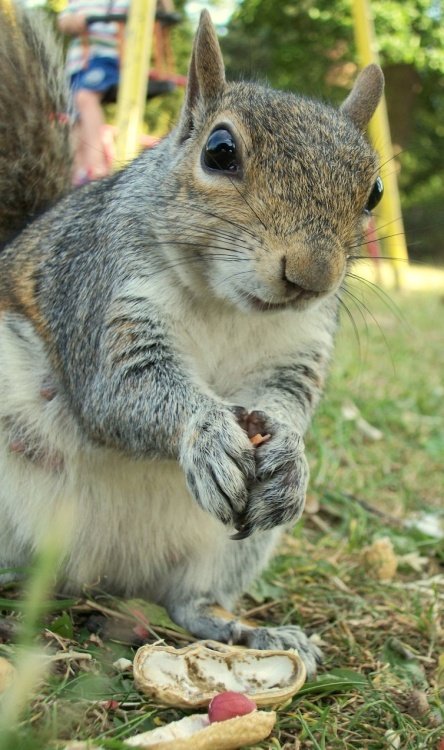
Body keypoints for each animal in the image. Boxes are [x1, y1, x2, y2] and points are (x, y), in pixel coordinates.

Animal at [0, 3, 384, 676]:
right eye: (220, 151)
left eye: (374, 193)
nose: (312, 275)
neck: (228, 307)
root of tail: (104, 576)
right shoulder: (103, 295)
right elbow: (121, 393)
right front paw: (205, 434)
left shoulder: (300, 349)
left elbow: (291, 403)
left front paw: (291, 452)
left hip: (228, 549)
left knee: (189, 601)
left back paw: (253, 632)